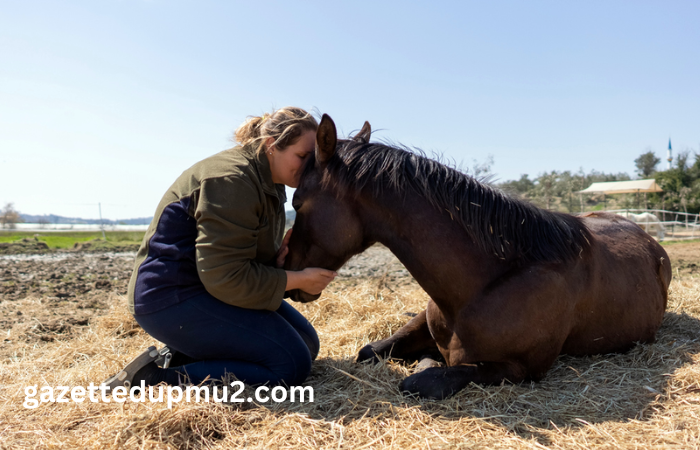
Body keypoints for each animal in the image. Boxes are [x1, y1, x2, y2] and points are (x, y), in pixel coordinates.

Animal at [286, 114, 672, 400]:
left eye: (298, 202)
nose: (287, 267)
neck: (486, 283)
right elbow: (369, 351)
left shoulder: (517, 368)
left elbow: (420, 379)